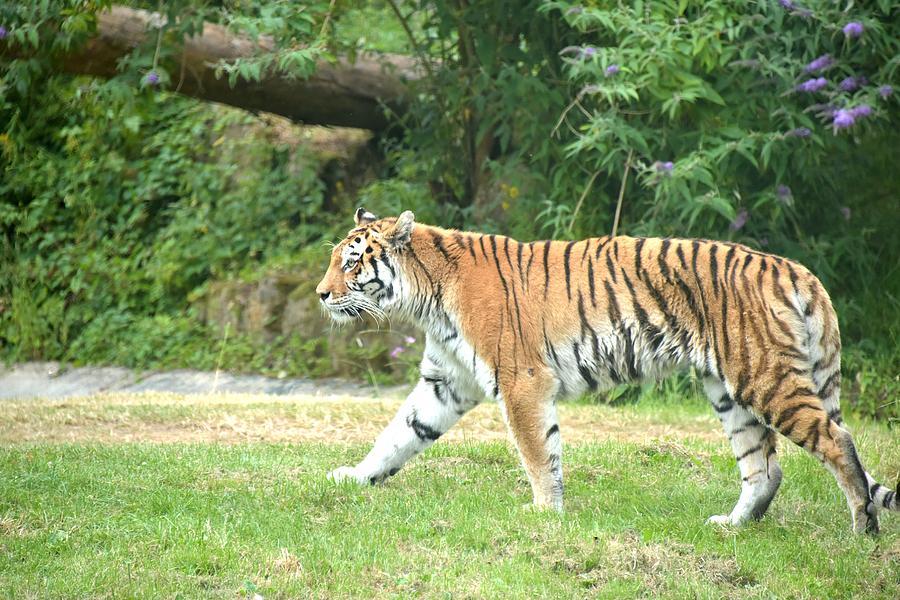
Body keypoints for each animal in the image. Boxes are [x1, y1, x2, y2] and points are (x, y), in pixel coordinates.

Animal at [314, 207, 892, 536]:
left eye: (352, 262)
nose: (320, 294)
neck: (427, 296)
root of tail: (797, 270)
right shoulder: (445, 382)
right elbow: (399, 434)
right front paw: (356, 476)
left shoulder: (522, 382)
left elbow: (537, 453)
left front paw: (544, 513)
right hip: (729, 390)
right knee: (765, 467)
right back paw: (732, 526)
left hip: (764, 377)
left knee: (836, 440)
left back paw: (862, 529)